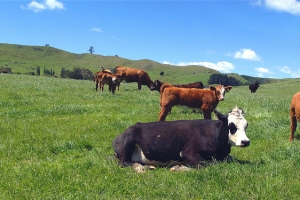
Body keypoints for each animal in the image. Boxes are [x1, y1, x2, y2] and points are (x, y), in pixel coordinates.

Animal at [111, 105, 250, 173]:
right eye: (231, 125)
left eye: (246, 125)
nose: (246, 142)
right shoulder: (188, 152)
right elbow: (204, 165)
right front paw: (179, 168)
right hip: (128, 142)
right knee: (123, 162)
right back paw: (142, 168)